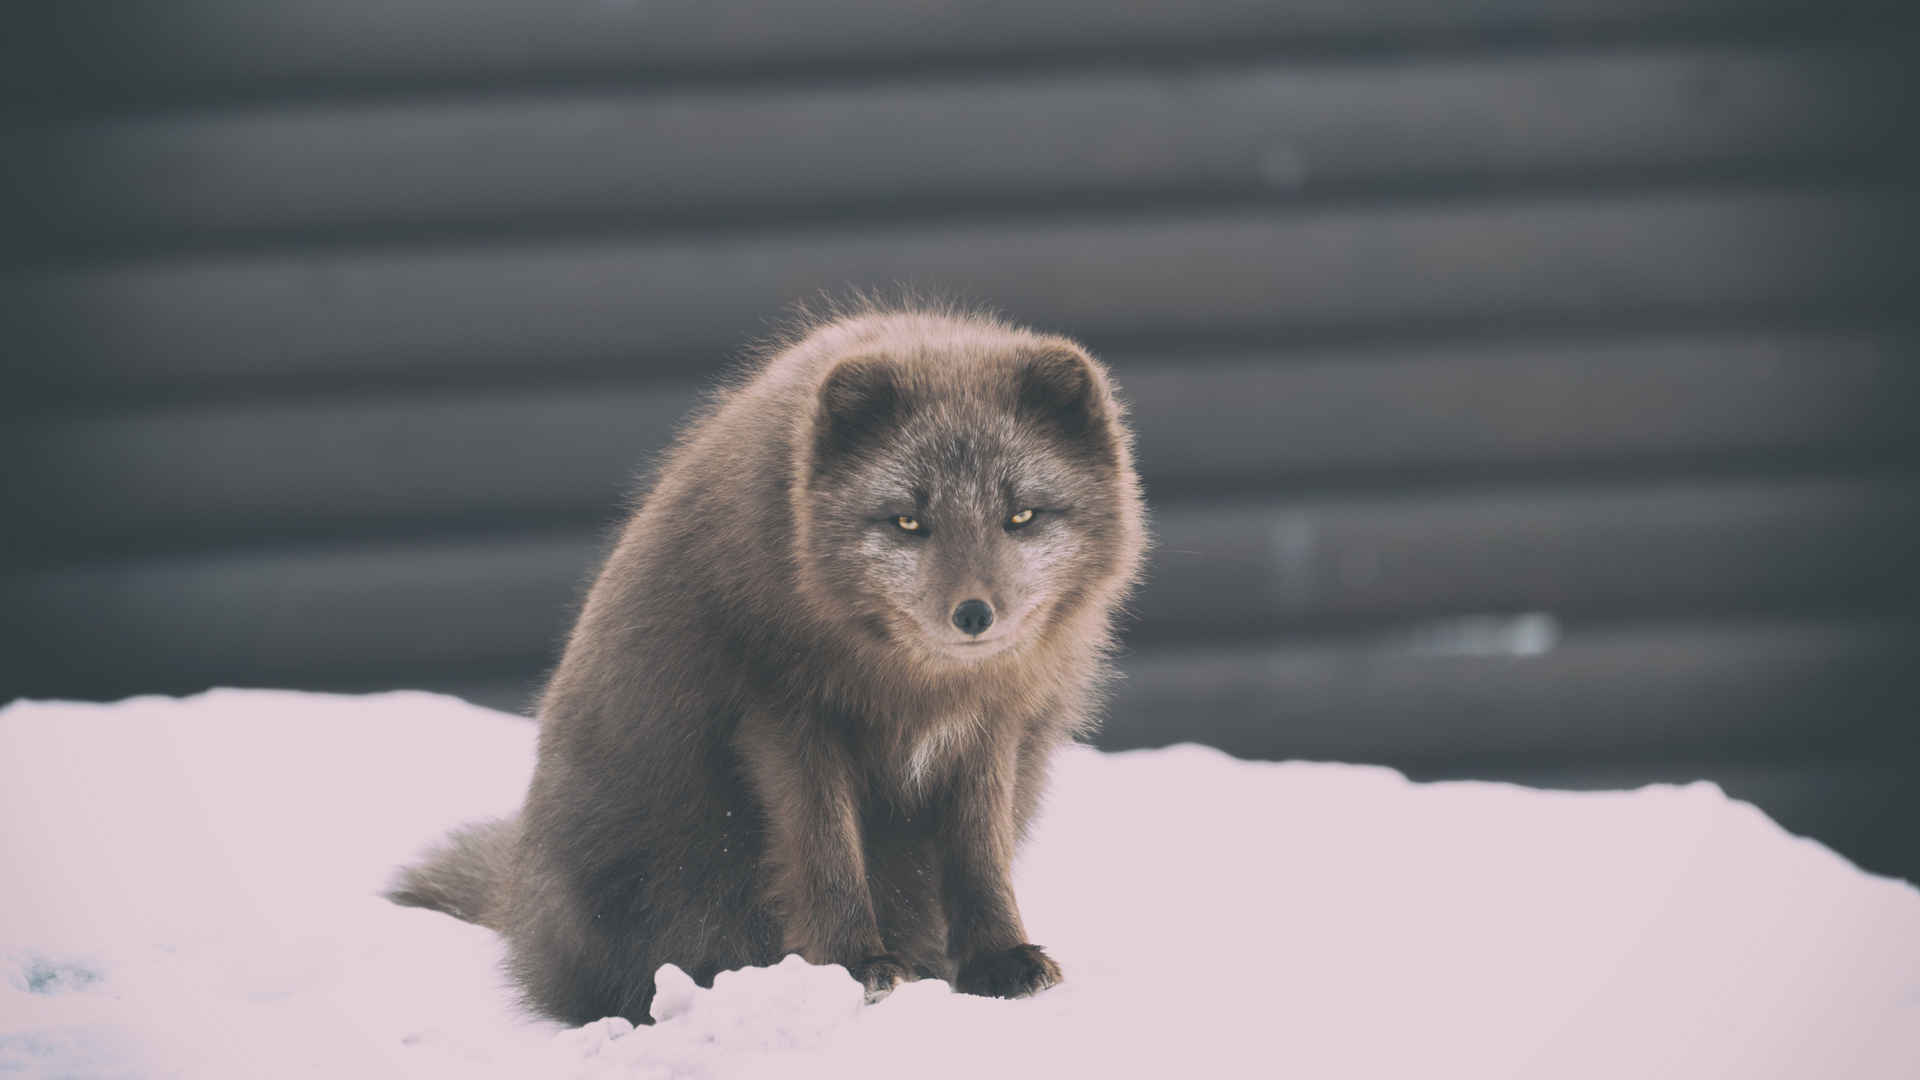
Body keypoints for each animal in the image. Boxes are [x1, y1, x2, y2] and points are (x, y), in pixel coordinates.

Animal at [387, 299, 1136, 1014]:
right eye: (908, 521)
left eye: (1021, 516)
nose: (975, 615)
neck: (918, 690)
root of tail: (517, 898)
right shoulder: (786, 719)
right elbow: (827, 853)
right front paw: (856, 967)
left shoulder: (991, 731)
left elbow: (981, 857)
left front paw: (998, 960)